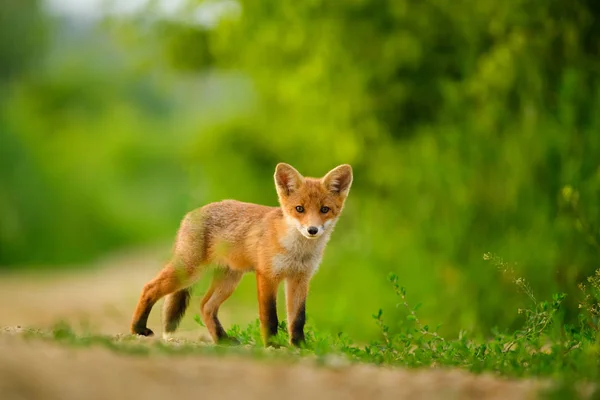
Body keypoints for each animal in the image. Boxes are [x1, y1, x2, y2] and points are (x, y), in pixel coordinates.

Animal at [130, 162, 352, 346]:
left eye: (324, 209)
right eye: (299, 209)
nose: (312, 230)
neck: (297, 252)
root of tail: (190, 215)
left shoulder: (300, 279)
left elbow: (297, 319)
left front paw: (300, 346)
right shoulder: (267, 276)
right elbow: (269, 316)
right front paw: (272, 344)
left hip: (229, 280)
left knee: (205, 306)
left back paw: (222, 340)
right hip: (189, 272)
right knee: (149, 288)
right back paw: (138, 329)